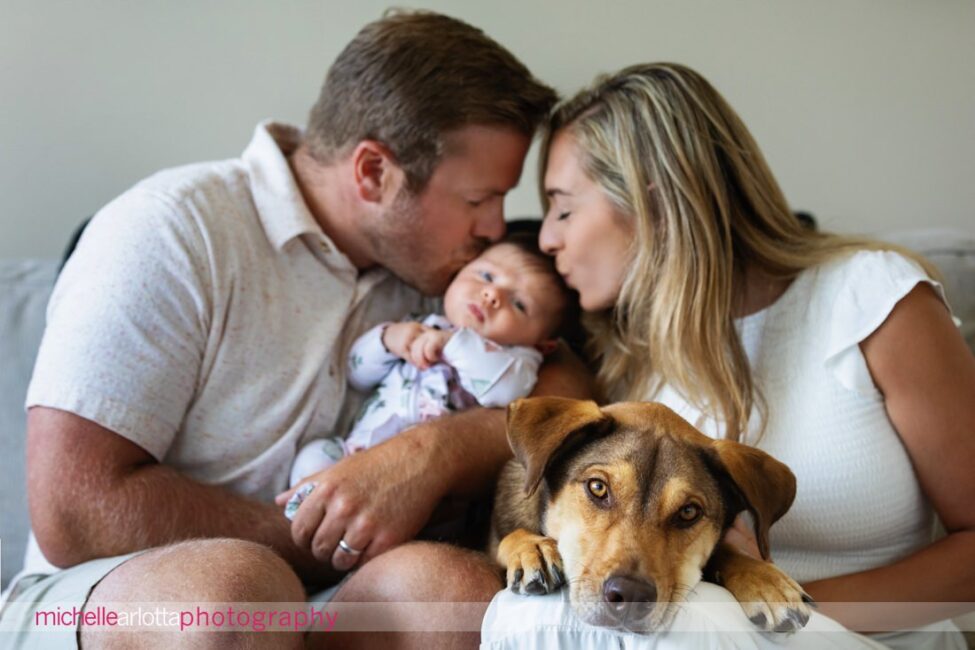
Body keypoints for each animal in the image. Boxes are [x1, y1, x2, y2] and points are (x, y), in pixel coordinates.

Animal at [488, 394, 816, 632]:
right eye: (597, 487)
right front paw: (531, 549)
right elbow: (508, 537)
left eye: (688, 512)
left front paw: (767, 582)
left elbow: (726, 549)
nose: (630, 596)